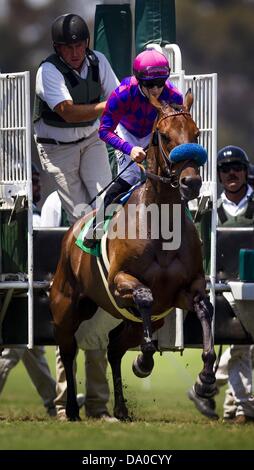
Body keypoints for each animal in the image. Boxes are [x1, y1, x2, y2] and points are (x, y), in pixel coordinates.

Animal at [50, 90, 216, 420]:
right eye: (164, 136)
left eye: (196, 134)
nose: (191, 182)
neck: (162, 226)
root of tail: (70, 232)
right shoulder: (120, 281)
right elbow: (144, 296)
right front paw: (144, 362)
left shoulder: (185, 290)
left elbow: (205, 310)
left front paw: (204, 381)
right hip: (66, 308)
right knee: (68, 350)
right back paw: (72, 409)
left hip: (138, 321)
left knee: (114, 347)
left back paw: (122, 408)